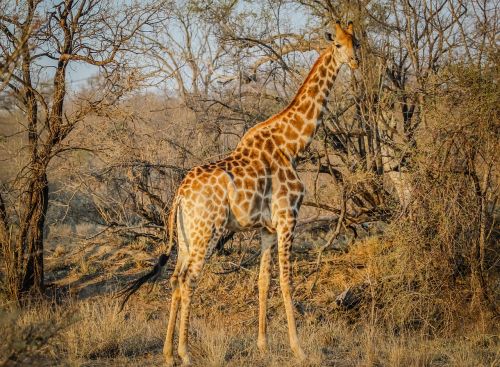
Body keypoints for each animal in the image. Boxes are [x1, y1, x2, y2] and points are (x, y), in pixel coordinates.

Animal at [118, 20, 358, 367]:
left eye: (356, 42)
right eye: (337, 44)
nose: (355, 62)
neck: (292, 145)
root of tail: (179, 195)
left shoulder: (267, 229)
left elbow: (263, 281)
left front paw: (263, 345)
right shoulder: (288, 218)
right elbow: (286, 281)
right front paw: (298, 349)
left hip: (187, 236)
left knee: (175, 278)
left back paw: (167, 353)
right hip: (208, 232)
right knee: (189, 280)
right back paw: (185, 352)